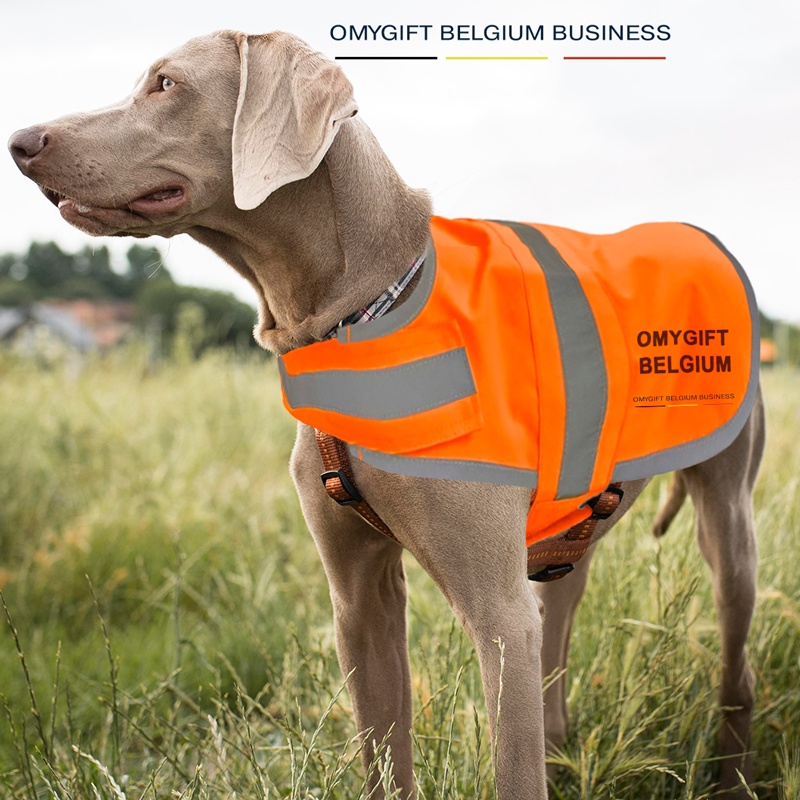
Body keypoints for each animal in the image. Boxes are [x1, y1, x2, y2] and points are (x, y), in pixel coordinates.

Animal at [9, 28, 764, 796]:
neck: (360, 312)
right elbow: (383, 754)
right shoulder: (358, 602)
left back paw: (731, 771)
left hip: (727, 523)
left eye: (166, 84)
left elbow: (512, 762)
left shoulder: (498, 617)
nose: (20, 141)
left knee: (738, 664)